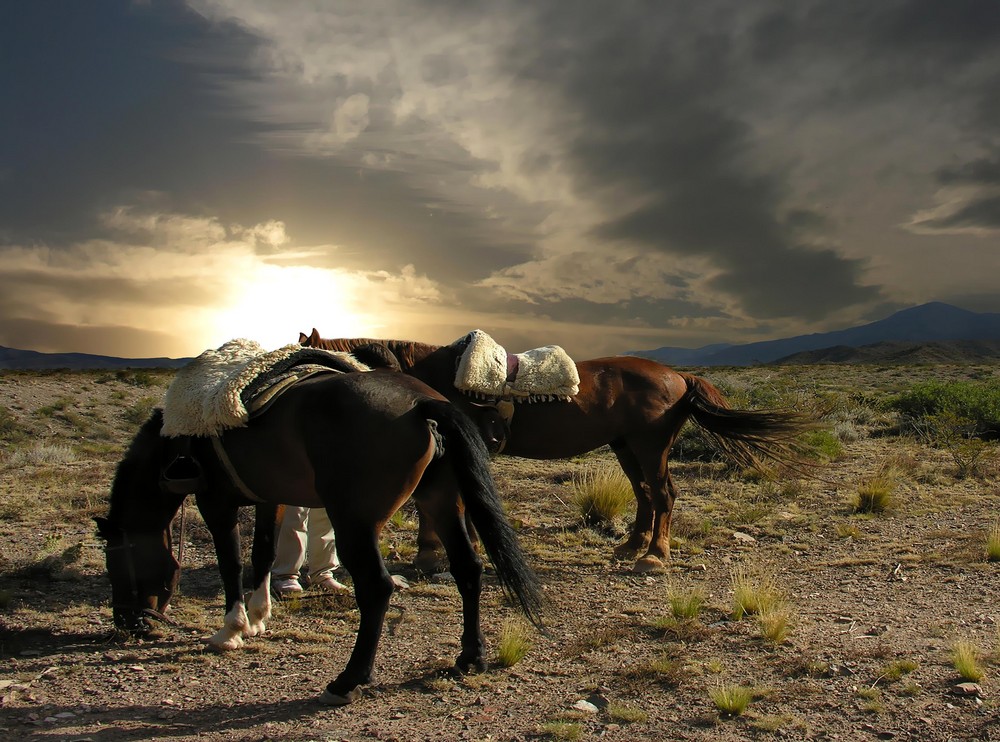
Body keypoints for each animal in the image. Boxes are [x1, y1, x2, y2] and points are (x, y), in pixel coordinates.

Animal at [97, 372, 544, 708]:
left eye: (117, 563)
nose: (126, 622)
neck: (176, 439)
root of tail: (422, 403)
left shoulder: (215, 502)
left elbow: (231, 563)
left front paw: (231, 630)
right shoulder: (270, 498)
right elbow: (262, 554)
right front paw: (259, 618)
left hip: (355, 523)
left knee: (377, 588)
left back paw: (348, 680)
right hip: (441, 502)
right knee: (468, 568)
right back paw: (471, 656)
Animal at [298, 332, 812, 576]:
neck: (435, 379)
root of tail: (679, 376)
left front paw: (438, 555)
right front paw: (438, 554)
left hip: (650, 446)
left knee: (664, 494)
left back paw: (654, 556)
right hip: (625, 447)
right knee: (645, 495)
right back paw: (631, 546)